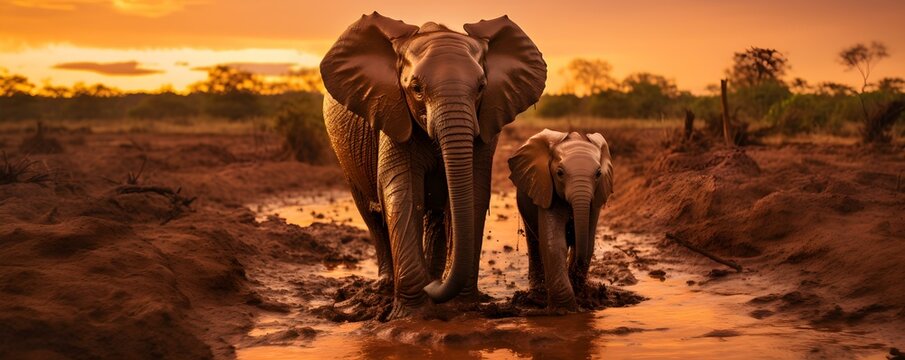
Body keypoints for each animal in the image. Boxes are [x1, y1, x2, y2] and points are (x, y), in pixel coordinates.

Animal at [318, 13, 544, 318]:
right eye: (416, 89)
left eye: (481, 87)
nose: (434, 288)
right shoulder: (392, 111)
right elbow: (402, 190)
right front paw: (412, 315)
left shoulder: (487, 119)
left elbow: (474, 191)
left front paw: (462, 307)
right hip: (344, 154)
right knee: (371, 214)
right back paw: (388, 286)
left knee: (434, 218)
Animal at [508, 130, 616, 312]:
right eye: (559, 173)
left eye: (598, 174)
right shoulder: (547, 189)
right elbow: (555, 243)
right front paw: (565, 310)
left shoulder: (595, 200)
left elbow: (588, 243)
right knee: (534, 242)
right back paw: (537, 294)